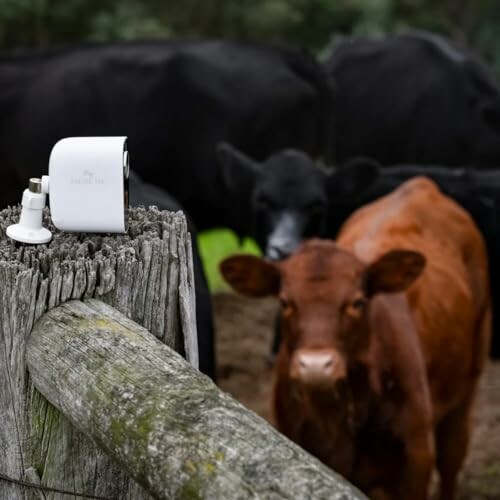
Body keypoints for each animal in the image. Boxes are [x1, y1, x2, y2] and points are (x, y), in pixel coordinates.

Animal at [221, 177, 490, 500]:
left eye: (357, 302)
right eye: (285, 302)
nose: (315, 366)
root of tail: (422, 184)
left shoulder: (415, 459)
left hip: (467, 385)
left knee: (452, 455)